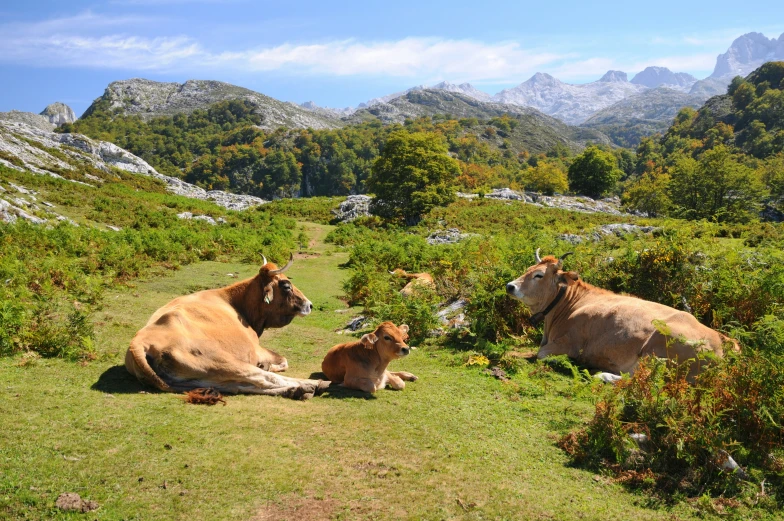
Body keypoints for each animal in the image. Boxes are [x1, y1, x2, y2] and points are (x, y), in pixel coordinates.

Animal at [127, 255, 330, 398]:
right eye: (286, 285)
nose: (309, 305)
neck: (236, 302)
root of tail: (138, 343)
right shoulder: (256, 348)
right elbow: (282, 362)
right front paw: (269, 365)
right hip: (220, 361)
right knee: (262, 378)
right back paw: (311, 384)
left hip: (199, 378)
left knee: (236, 386)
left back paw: (297, 390)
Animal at [506, 249, 740, 378]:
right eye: (527, 269)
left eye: (539, 275)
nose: (510, 286)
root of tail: (723, 339)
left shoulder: (567, 343)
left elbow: (542, 354)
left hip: (658, 349)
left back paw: (601, 375)